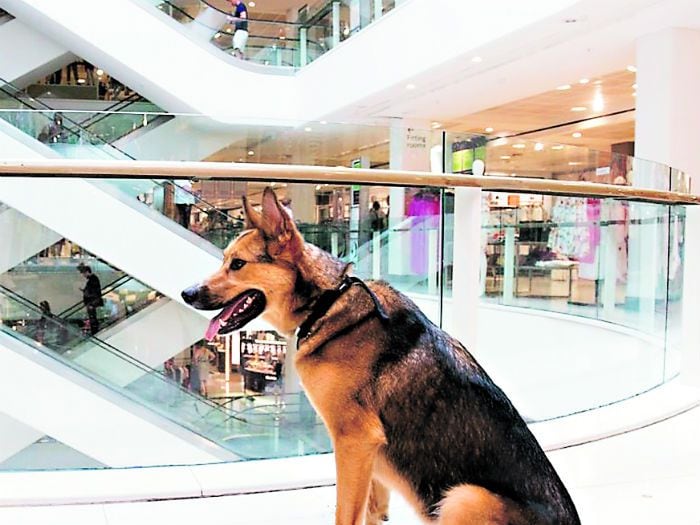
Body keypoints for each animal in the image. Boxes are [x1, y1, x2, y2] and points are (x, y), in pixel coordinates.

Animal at [182, 188, 580, 524]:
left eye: (237, 264)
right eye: (225, 260)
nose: (187, 293)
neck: (327, 302)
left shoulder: (354, 441)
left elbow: (346, 514)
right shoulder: (371, 457)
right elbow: (371, 511)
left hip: (463, 497)